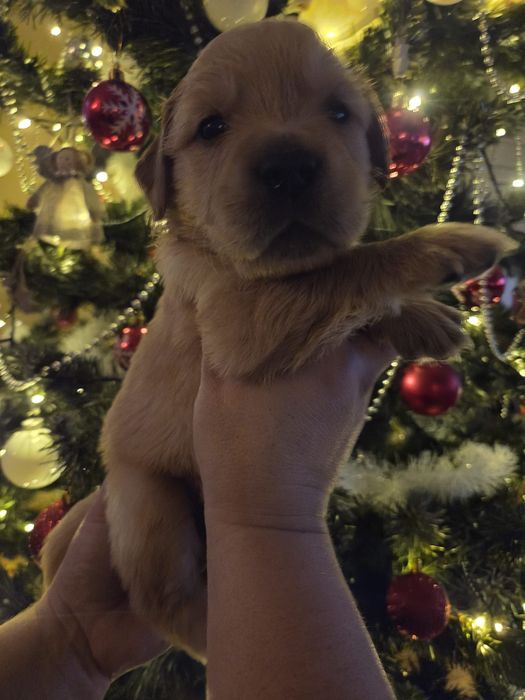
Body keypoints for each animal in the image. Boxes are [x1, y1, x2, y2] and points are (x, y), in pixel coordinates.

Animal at [42, 18, 514, 663]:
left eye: (338, 113)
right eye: (211, 127)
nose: (288, 165)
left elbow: (345, 281)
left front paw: (423, 319)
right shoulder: (235, 317)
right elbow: (346, 267)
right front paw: (448, 244)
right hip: (148, 502)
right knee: (163, 599)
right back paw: (211, 640)